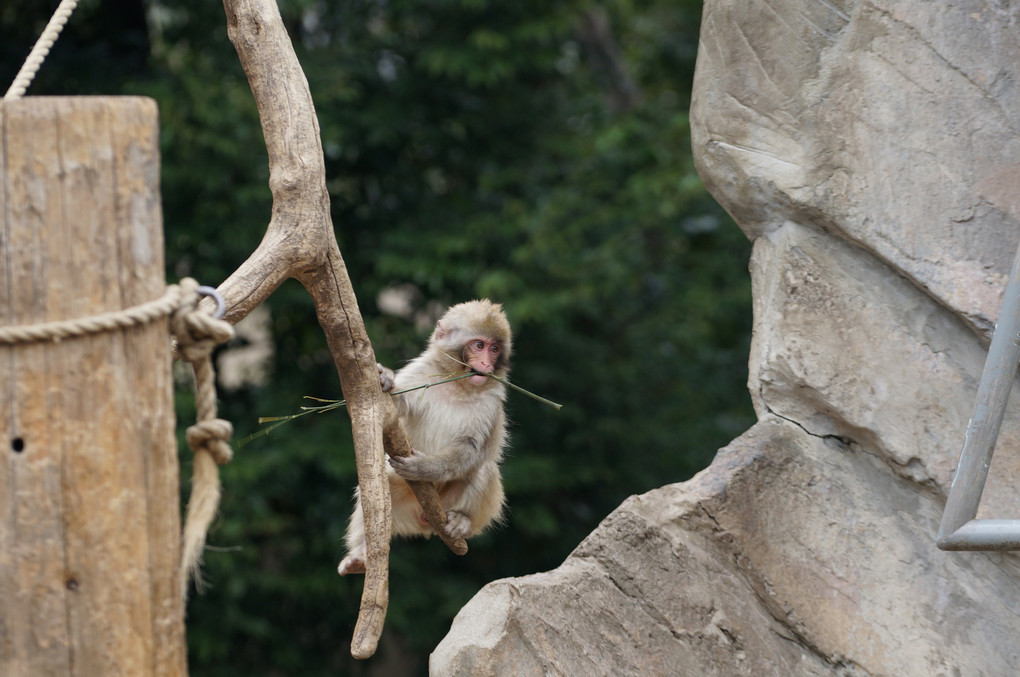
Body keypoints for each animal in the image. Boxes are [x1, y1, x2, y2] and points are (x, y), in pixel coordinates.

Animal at [338, 299, 514, 575]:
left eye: (494, 348)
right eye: (479, 345)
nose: (486, 364)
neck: (457, 383)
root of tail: (426, 522)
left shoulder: (491, 400)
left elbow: (471, 448)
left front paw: (425, 468)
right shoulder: (420, 374)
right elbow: (394, 409)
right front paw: (385, 378)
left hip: (447, 505)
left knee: (485, 469)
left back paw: (463, 521)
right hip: (404, 504)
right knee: (378, 493)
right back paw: (361, 555)